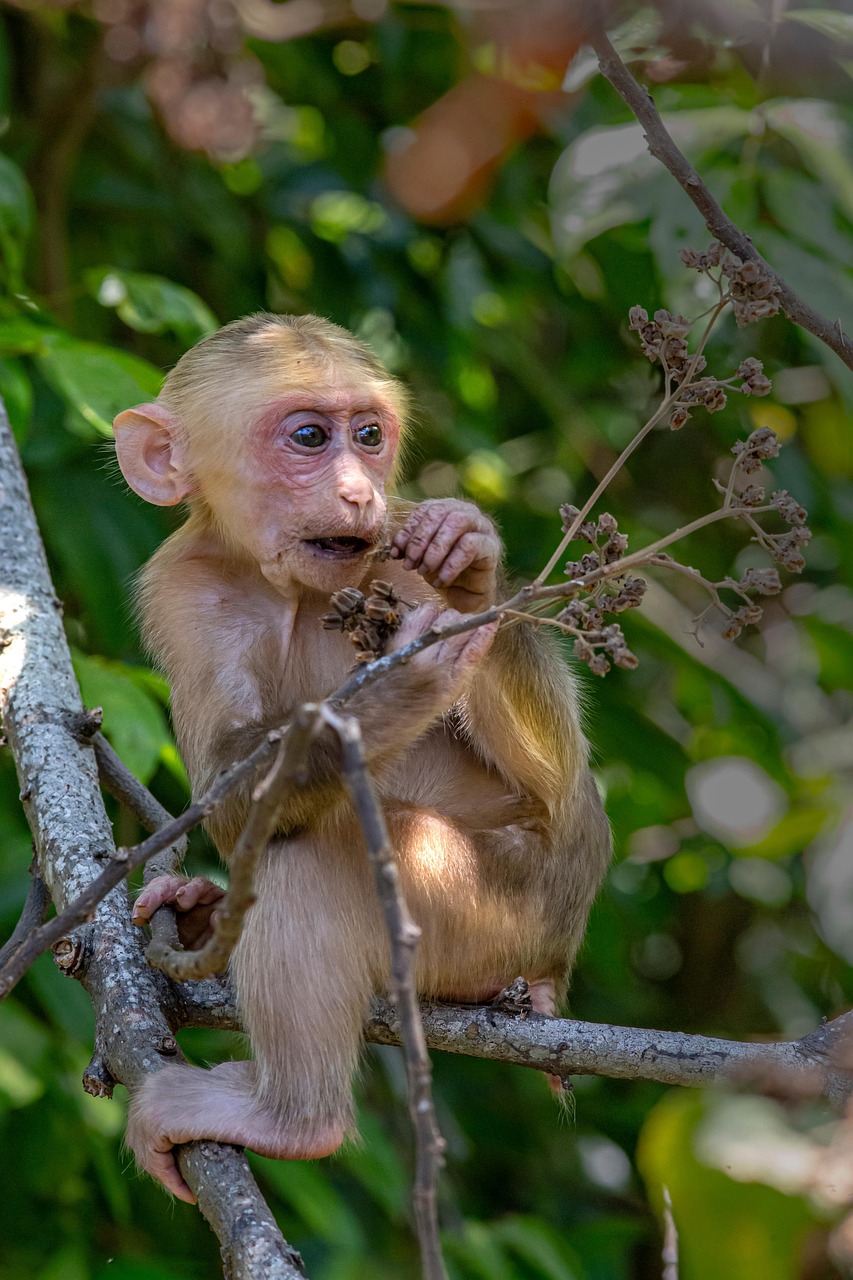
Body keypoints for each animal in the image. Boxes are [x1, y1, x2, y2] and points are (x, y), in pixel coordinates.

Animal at [112, 314, 607, 1203]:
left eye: (368, 436)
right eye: (310, 437)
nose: (356, 491)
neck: (291, 589)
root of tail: (558, 953)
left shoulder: (392, 550)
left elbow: (557, 780)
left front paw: (472, 567)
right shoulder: (181, 587)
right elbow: (227, 791)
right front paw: (404, 682)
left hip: (505, 903)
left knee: (324, 852)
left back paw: (293, 1120)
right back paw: (202, 916)